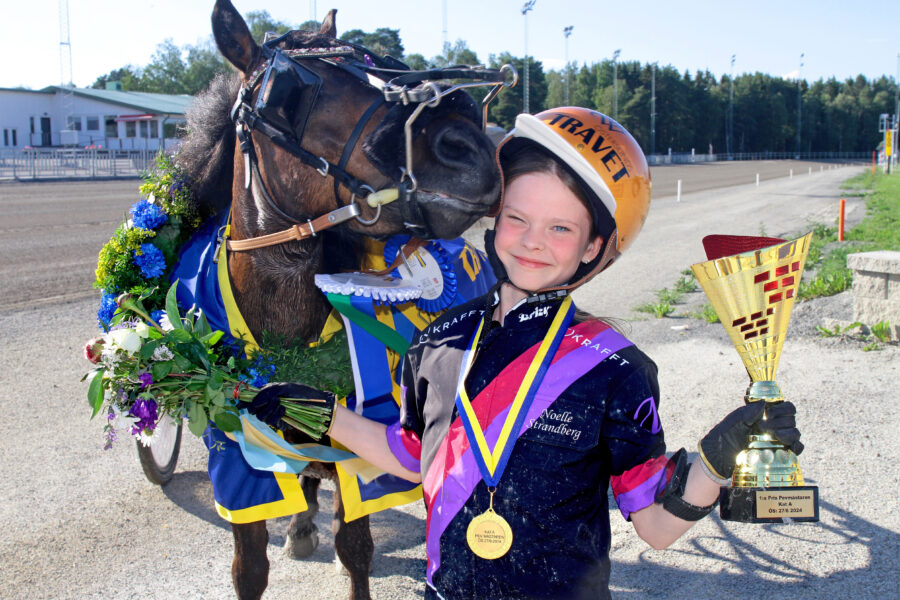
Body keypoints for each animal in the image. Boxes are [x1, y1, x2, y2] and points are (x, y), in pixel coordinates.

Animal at [173, 1, 502, 600]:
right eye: (290, 92)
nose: (469, 145)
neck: (287, 331)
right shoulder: (237, 449)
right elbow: (248, 565)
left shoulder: (364, 437)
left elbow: (356, 545)